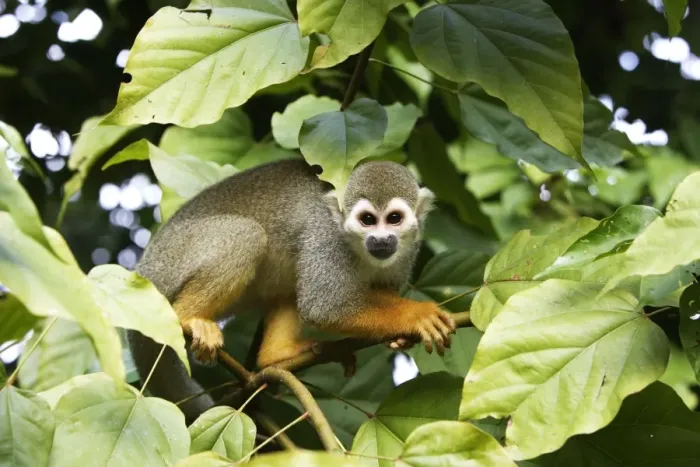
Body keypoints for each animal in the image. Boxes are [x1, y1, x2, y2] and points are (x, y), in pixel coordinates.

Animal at [128, 159, 456, 420]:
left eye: (394, 219)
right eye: (367, 220)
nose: (381, 240)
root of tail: (145, 267)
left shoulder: (407, 252)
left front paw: (399, 337)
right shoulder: (325, 239)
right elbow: (323, 306)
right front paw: (416, 315)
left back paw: (275, 356)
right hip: (175, 258)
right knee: (247, 236)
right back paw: (188, 317)